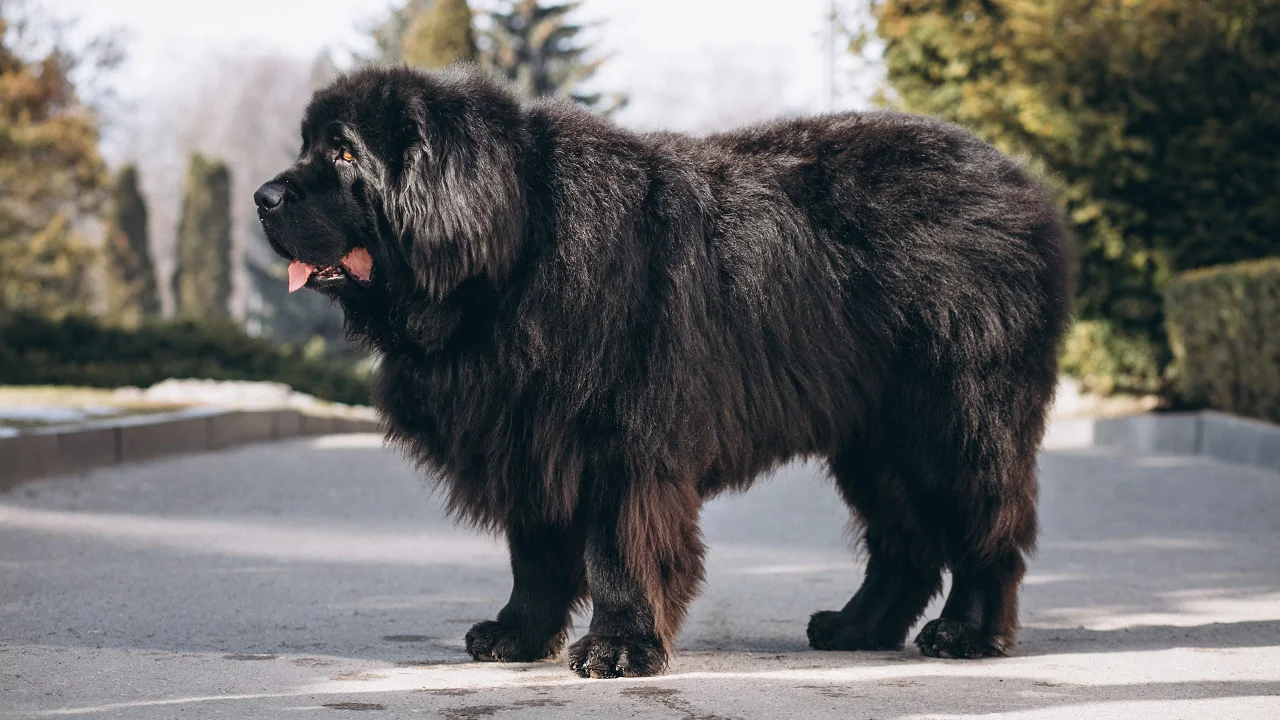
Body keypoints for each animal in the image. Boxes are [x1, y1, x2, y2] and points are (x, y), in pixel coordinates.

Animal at [252, 64, 1070, 676]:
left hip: (956, 418)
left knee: (983, 528)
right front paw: (518, 634)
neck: (514, 251)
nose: (262, 196)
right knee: (906, 541)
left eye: (345, 155)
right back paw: (857, 627)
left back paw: (967, 633)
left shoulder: (618, 438)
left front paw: (619, 646)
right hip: (874, 436)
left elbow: (616, 547)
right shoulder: (526, 433)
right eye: (307, 147)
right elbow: (535, 555)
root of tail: (1026, 189)